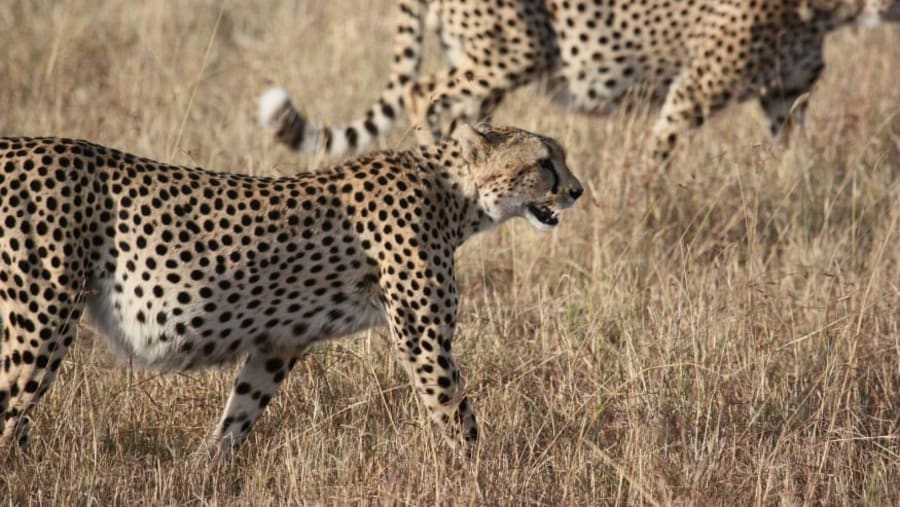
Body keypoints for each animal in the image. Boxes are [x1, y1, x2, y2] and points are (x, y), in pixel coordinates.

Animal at [0, 123, 583, 459]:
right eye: (543, 162)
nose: (577, 190)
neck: (456, 196)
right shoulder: (424, 339)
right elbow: (455, 412)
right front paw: (485, 475)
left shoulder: (280, 341)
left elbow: (240, 413)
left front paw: (206, 471)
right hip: (38, 322)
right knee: (10, 413)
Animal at [258, 0, 900, 163]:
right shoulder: (695, 86)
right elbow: (660, 151)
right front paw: (647, 199)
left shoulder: (784, 96)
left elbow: (795, 150)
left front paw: (804, 185)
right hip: (514, 49)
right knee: (423, 92)